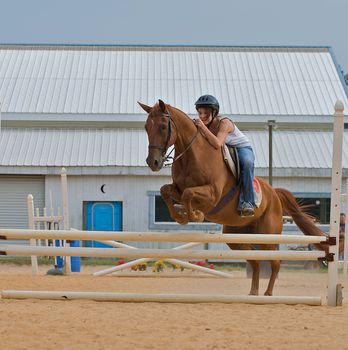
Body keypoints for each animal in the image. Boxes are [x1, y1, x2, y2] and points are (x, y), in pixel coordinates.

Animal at [138, 100, 338, 296]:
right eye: (146, 127)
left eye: (163, 127)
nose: (153, 162)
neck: (193, 155)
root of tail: (274, 194)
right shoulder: (178, 189)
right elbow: (166, 190)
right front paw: (181, 216)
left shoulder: (212, 195)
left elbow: (189, 194)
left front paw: (195, 215)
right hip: (236, 237)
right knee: (255, 260)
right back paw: (253, 293)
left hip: (268, 236)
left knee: (274, 262)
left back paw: (267, 294)